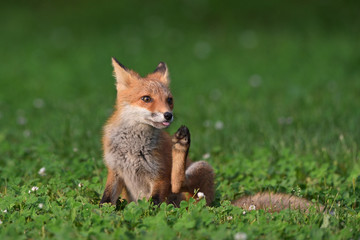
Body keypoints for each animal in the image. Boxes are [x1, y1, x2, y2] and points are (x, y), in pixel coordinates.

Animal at [100, 59, 324, 213]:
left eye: (169, 100)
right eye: (146, 99)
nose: (168, 115)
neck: (132, 145)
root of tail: (213, 206)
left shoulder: (159, 174)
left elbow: (155, 201)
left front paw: (149, 214)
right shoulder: (115, 170)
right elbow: (106, 200)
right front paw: (102, 214)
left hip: (201, 169)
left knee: (179, 183)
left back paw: (181, 145)